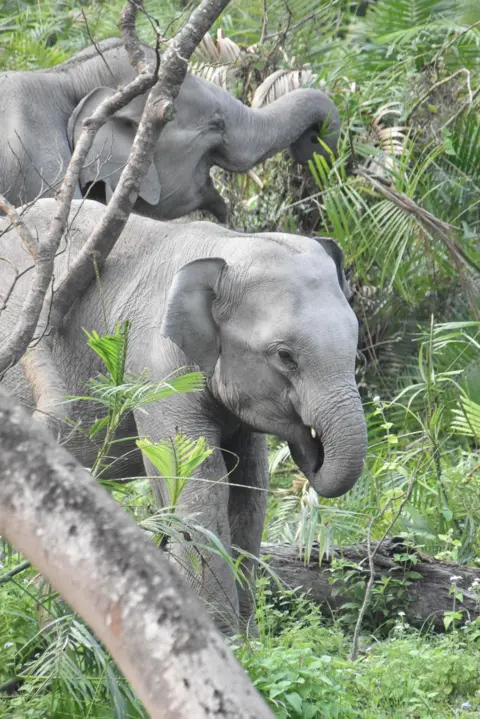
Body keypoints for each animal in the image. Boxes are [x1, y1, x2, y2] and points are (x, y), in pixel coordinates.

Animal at [0, 199, 367, 634]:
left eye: (355, 339)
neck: (225, 246)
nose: (311, 448)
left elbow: (250, 486)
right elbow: (200, 481)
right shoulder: (155, 371)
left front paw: (249, 635)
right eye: (284, 355)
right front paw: (223, 633)